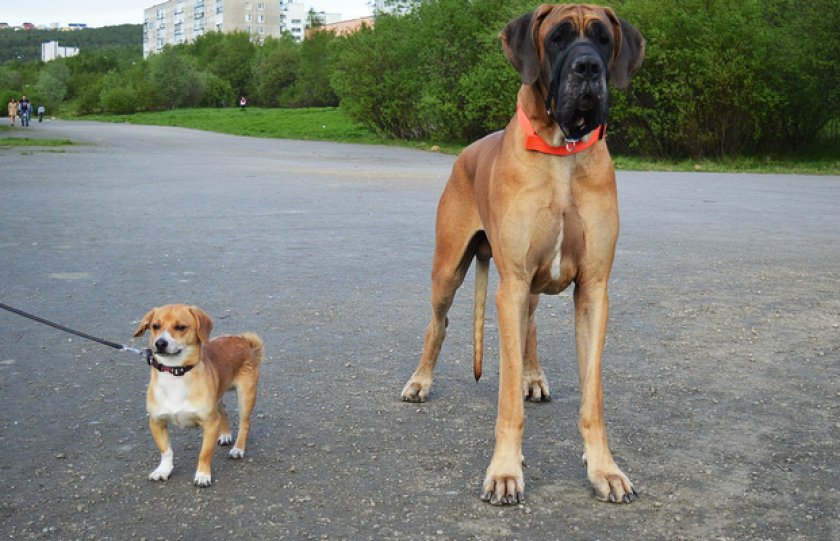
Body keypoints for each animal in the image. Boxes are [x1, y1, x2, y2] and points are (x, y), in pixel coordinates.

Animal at [134, 304, 262, 486]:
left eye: (181, 327)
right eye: (155, 326)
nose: (160, 343)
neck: (175, 372)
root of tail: (243, 340)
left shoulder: (210, 423)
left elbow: (204, 454)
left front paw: (202, 475)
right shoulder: (156, 422)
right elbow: (166, 450)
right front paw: (164, 470)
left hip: (245, 398)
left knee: (244, 424)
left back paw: (238, 448)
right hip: (218, 397)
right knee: (224, 412)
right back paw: (225, 435)